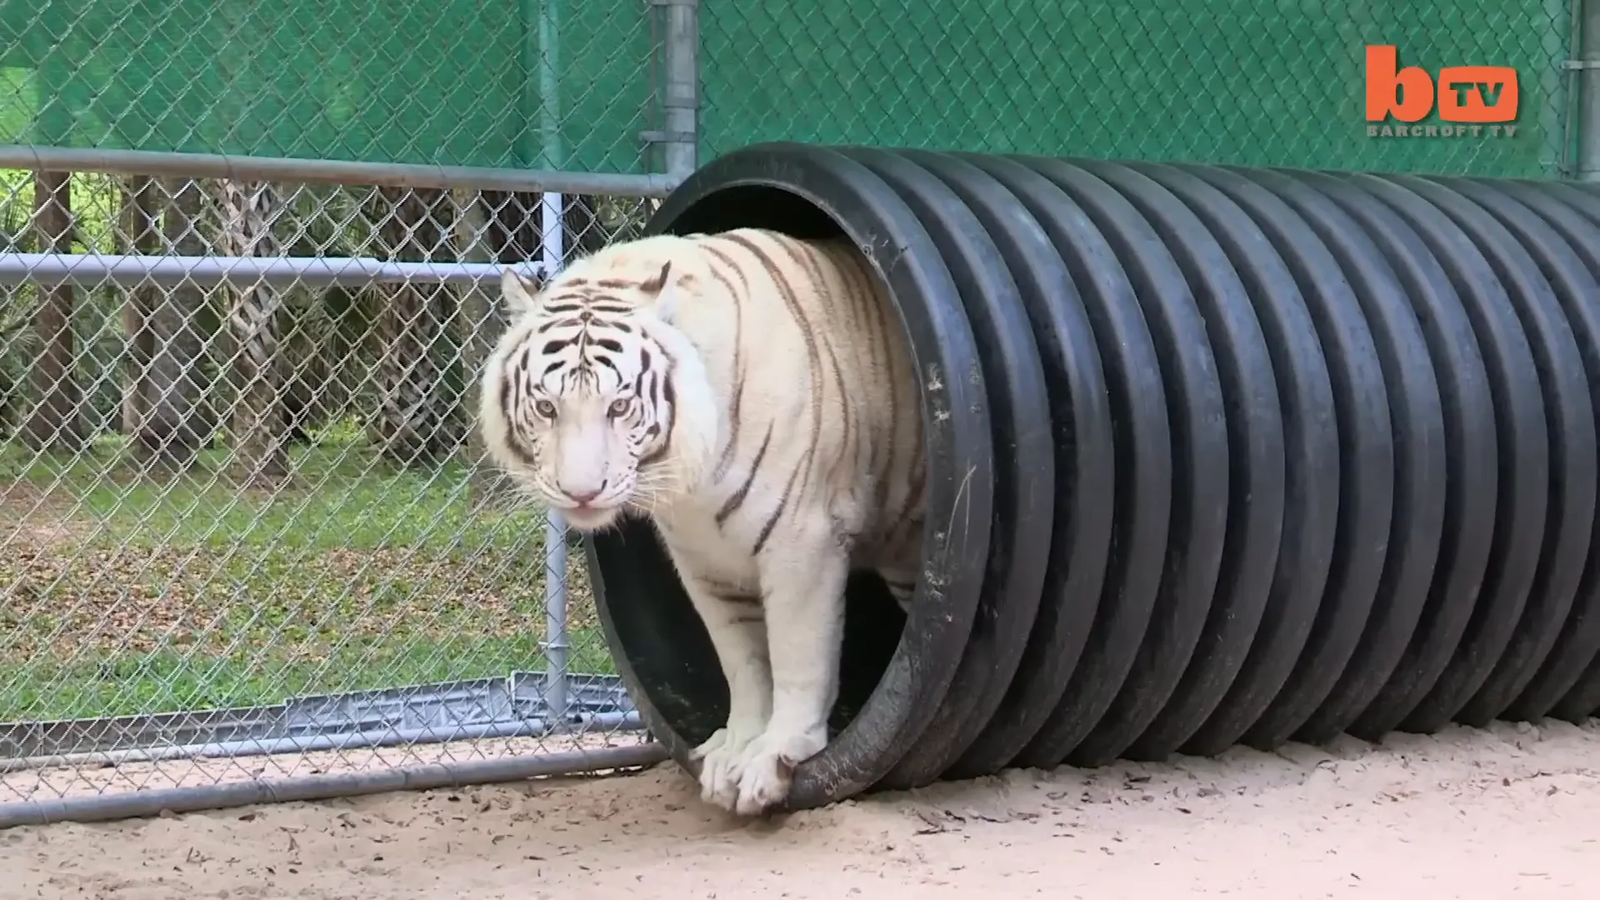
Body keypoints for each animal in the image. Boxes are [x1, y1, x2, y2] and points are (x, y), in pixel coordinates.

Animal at [476, 227, 928, 816]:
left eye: (619, 406)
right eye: (547, 408)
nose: (581, 493)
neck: (693, 485)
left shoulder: (802, 541)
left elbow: (797, 654)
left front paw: (776, 756)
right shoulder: (703, 562)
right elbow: (743, 661)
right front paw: (734, 750)